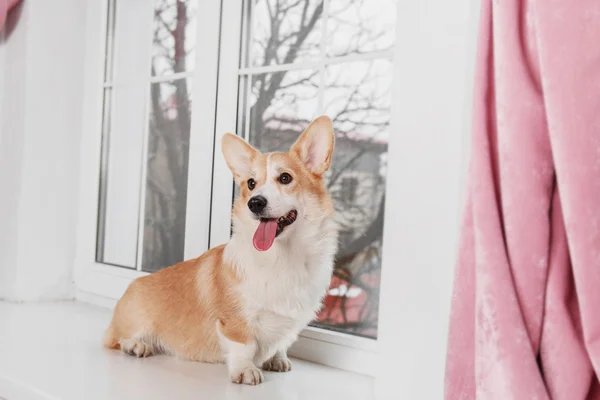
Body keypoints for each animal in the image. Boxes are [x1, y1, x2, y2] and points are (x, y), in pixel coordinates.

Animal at [103, 115, 338, 384]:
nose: (255, 203)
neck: (283, 257)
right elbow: (244, 345)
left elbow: (281, 343)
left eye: (285, 178)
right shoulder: (234, 321)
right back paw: (136, 345)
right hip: (134, 322)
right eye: (251, 183)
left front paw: (277, 359)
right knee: (117, 339)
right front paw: (245, 370)